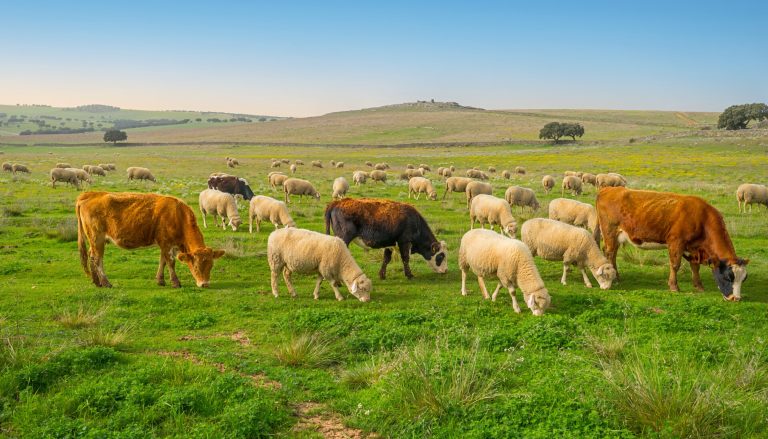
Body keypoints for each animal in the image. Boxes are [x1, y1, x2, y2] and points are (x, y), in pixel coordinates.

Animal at [76, 192, 225, 288]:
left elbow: (162, 261)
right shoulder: (166, 243)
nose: (204, 284)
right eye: (196, 266)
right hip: (97, 239)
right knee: (97, 259)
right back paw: (106, 283)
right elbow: (170, 262)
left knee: (91, 256)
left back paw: (97, 282)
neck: (178, 215)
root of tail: (90, 194)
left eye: (211, 265)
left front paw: (160, 281)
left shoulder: (165, 244)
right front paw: (175, 282)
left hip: (94, 241)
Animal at [594, 187, 749, 300]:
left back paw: (617, 276)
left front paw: (698, 286)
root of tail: (608, 189)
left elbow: (695, 267)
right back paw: (614, 278)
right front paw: (674, 286)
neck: (702, 218)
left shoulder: (693, 248)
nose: (736, 298)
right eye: (728, 276)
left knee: (612, 253)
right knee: (609, 253)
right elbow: (675, 265)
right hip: (610, 232)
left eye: (744, 279)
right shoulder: (676, 242)